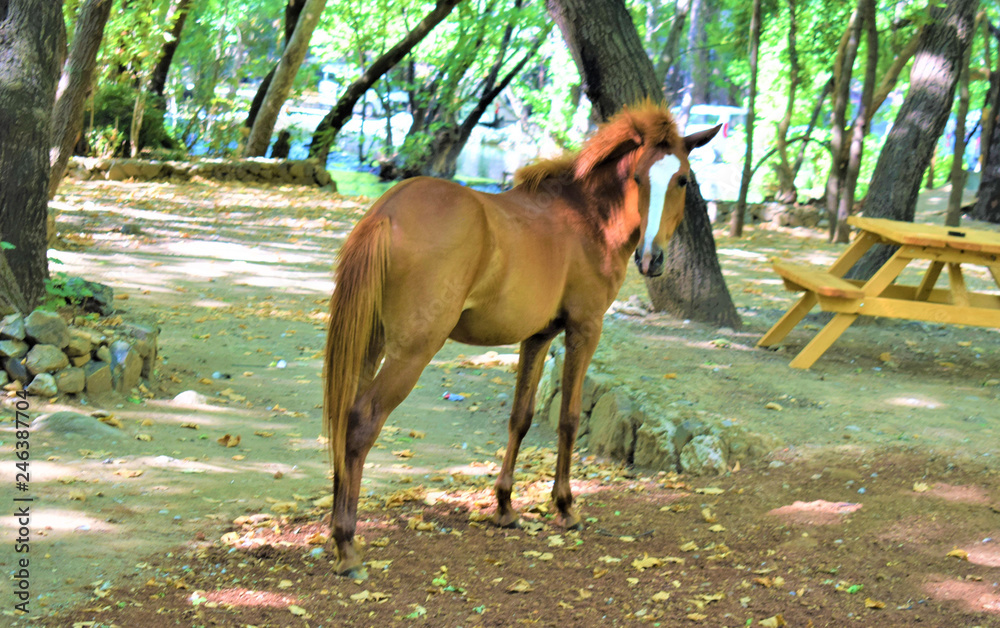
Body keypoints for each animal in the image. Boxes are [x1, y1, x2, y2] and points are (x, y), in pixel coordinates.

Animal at [323, 101, 721, 578]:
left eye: (681, 179)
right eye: (639, 178)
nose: (652, 258)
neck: (586, 218)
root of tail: (389, 211)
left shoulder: (538, 335)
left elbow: (521, 417)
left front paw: (505, 505)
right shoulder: (585, 329)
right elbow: (568, 418)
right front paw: (565, 506)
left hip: (371, 343)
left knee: (343, 417)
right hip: (411, 352)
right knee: (362, 421)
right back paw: (347, 544)